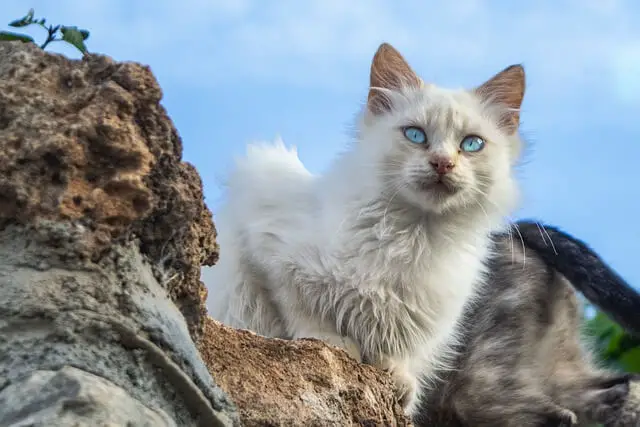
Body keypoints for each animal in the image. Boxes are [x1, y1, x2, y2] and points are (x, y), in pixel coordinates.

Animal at [202, 42, 528, 414]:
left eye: (472, 144)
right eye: (415, 135)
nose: (442, 163)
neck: (414, 236)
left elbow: (401, 355)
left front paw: (397, 376)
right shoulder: (266, 236)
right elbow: (298, 309)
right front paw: (334, 342)